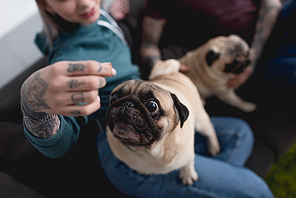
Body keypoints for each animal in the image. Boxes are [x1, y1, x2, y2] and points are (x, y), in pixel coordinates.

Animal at [104, 58, 220, 186]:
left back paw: (214, 146)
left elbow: (187, 165)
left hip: (200, 122)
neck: (147, 151)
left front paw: (188, 176)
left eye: (152, 106)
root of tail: (172, 73)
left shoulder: (188, 155)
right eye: (113, 98)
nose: (127, 103)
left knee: (210, 129)